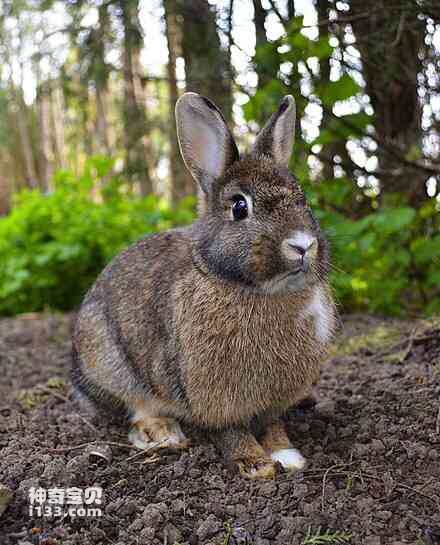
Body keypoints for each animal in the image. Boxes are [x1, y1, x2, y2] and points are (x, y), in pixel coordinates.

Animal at [72, 93, 338, 480]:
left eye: (304, 200)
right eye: (239, 207)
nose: (302, 245)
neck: (255, 290)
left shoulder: (274, 402)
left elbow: (272, 425)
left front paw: (287, 455)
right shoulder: (211, 397)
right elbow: (229, 430)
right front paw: (255, 464)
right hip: (108, 363)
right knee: (133, 409)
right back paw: (163, 434)